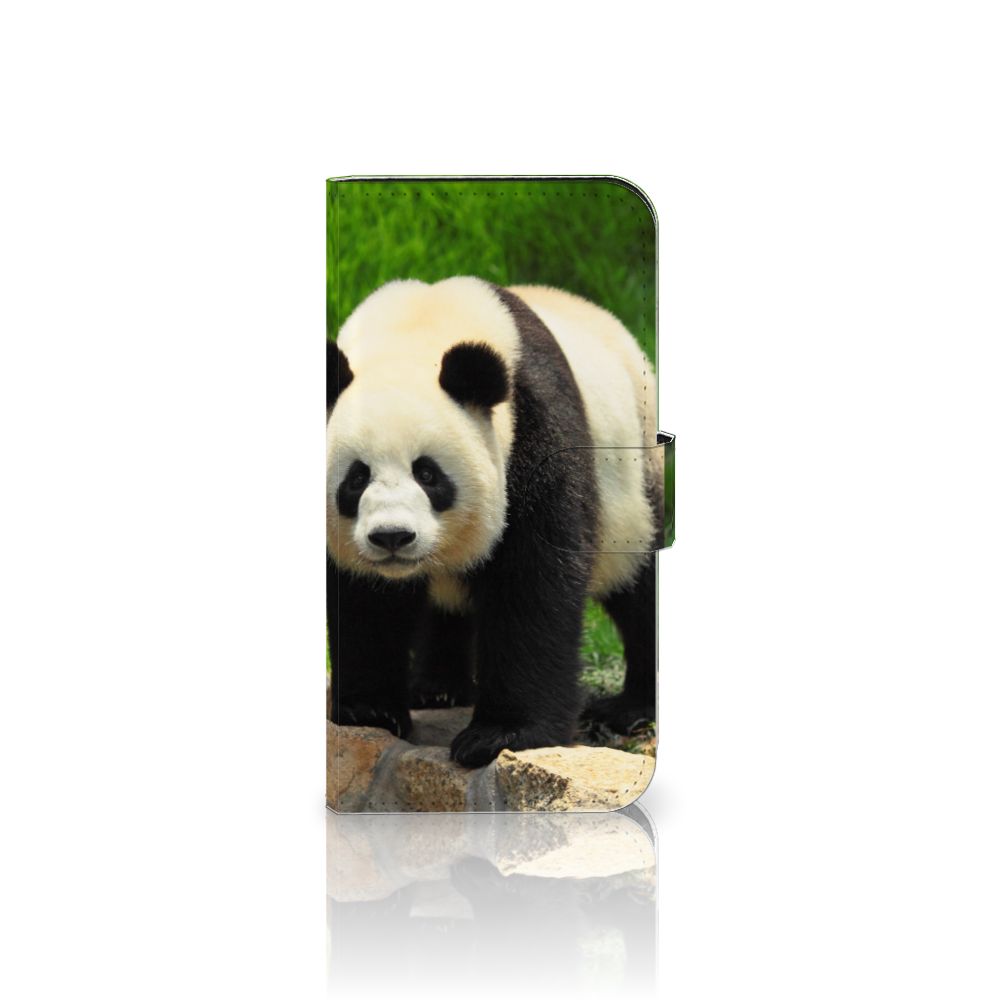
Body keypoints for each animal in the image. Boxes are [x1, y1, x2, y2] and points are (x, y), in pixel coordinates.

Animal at [327, 276, 662, 768]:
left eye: (428, 474)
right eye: (356, 478)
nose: (392, 537)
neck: (416, 331)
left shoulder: (534, 428)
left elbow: (533, 582)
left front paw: (501, 734)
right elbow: (363, 599)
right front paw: (368, 709)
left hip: (634, 480)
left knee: (637, 584)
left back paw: (630, 708)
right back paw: (437, 688)